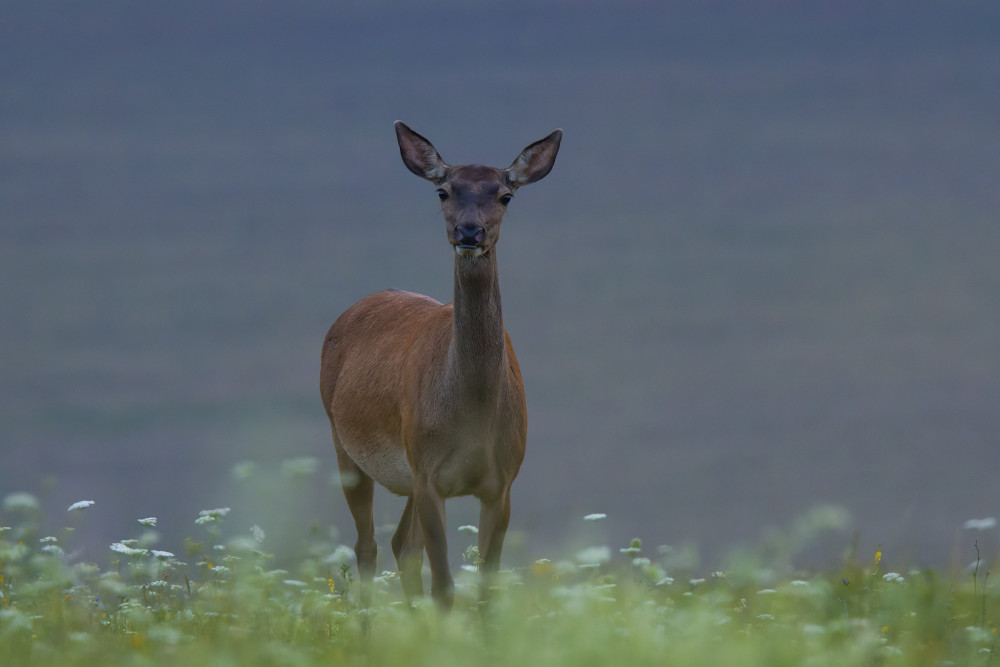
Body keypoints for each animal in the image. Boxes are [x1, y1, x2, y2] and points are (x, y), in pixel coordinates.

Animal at [318, 122, 560, 612]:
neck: (473, 417)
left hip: (406, 474)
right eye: (443, 191)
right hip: (345, 443)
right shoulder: (429, 475)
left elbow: (486, 587)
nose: (469, 231)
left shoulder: (502, 481)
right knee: (368, 547)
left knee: (401, 546)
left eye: (506, 195)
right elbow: (444, 587)